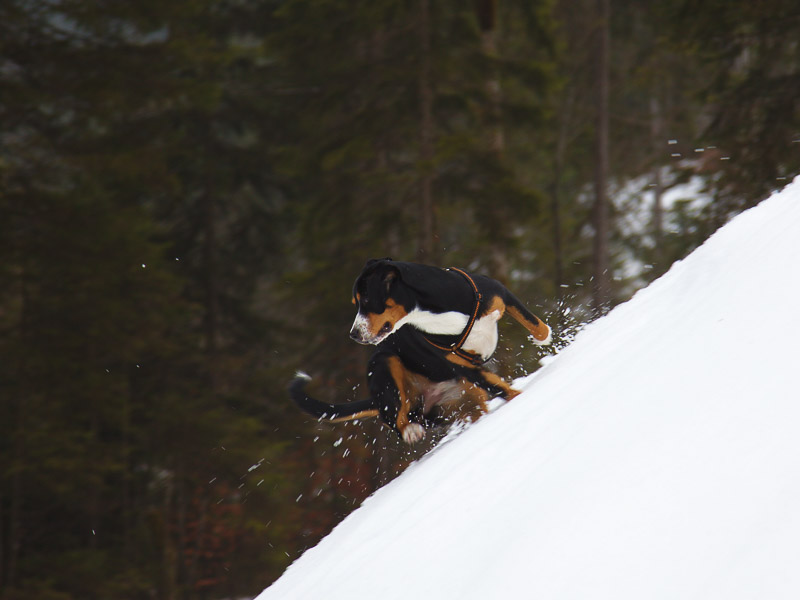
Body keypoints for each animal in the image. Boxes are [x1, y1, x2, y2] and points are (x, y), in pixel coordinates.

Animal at [290, 258, 552, 446]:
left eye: (365, 301)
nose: (354, 334)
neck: (431, 311)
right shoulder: (460, 364)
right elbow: (498, 386)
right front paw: (523, 397)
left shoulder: (500, 295)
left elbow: (537, 327)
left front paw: (549, 342)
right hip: (383, 364)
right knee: (396, 417)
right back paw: (410, 431)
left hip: (461, 400)